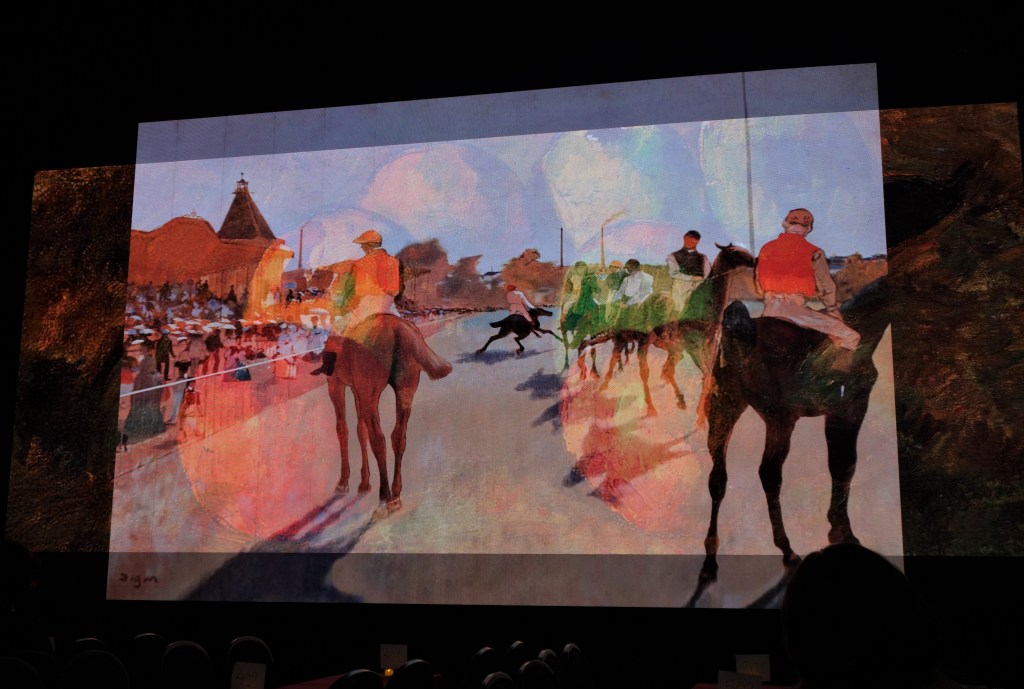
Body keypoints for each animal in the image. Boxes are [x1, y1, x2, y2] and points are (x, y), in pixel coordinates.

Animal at [321, 314, 452, 519]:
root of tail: (397, 329)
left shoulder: (336, 384)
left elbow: (343, 429)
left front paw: (344, 482)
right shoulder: (357, 390)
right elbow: (360, 430)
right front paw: (364, 483)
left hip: (370, 393)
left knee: (378, 439)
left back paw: (384, 496)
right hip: (405, 388)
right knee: (398, 436)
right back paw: (395, 496)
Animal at [575, 243, 757, 416]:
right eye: (735, 252)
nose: (754, 260)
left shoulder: (708, 346)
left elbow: (706, 374)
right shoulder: (692, 347)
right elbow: (704, 374)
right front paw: (699, 410)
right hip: (638, 341)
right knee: (633, 365)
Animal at [698, 275, 890, 584]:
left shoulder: (834, 415)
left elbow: (837, 465)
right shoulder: (850, 410)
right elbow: (845, 465)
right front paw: (843, 532)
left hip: (724, 408)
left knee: (718, 479)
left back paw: (710, 559)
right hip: (780, 420)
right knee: (769, 474)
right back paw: (786, 549)